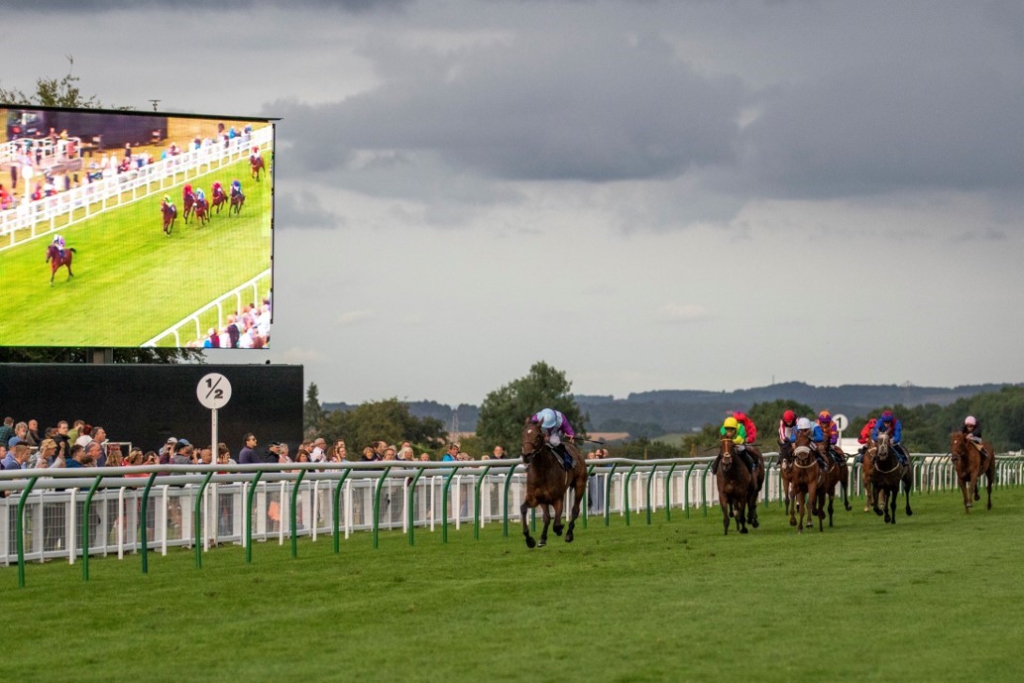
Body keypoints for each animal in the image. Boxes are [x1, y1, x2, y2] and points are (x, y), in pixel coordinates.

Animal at [524, 419, 589, 548]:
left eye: (538, 436)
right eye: (523, 434)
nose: (526, 455)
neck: (542, 470)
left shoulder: (557, 498)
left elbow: (556, 522)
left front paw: (559, 529)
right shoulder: (540, 497)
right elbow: (547, 517)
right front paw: (541, 539)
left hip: (580, 484)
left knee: (575, 509)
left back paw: (569, 534)